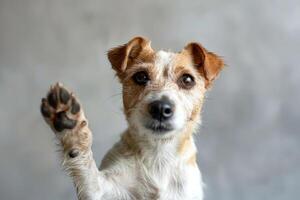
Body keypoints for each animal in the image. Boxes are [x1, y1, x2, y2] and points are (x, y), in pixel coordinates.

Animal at [40, 36, 223, 199]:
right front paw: (70, 126)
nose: (160, 108)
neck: (158, 155)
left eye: (187, 79)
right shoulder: (99, 191)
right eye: (141, 76)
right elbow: (87, 170)